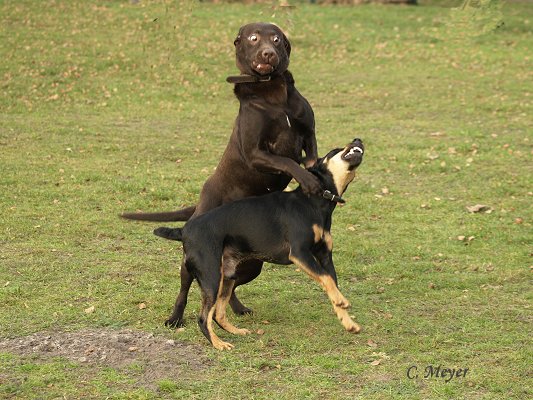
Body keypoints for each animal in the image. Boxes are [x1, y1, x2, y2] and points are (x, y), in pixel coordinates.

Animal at [122, 21, 318, 326]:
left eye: (276, 39)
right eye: (253, 38)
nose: (268, 53)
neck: (272, 92)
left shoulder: (308, 134)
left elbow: (309, 157)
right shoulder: (256, 153)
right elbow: (288, 162)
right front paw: (308, 181)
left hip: (252, 264)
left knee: (229, 284)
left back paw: (233, 309)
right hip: (192, 257)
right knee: (185, 286)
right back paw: (175, 318)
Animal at [152, 138, 364, 350]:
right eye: (336, 149)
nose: (358, 139)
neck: (315, 201)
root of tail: (185, 230)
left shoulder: (325, 256)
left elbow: (331, 283)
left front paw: (348, 322)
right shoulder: (300, 252)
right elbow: (327, 279)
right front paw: (342, 301)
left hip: (228, 276)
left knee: (218, 313)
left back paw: (235, 331)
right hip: (211, 277)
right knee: (204, 318)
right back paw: (219, 344)